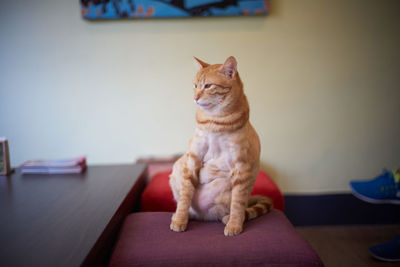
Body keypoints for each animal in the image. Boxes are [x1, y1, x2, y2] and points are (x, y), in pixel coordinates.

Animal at [169, 56, 272, 237]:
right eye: (195, 85)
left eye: (208, 86)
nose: (195, 97)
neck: (215, 121)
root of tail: (203, 216)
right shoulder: (192, 159)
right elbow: (184, 198)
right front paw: (180, 220)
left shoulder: (241, 167)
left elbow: (237, 204)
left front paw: (234, 225)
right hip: (177, 167)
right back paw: (181, 215)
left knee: (241, 207)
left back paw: (228, 218)